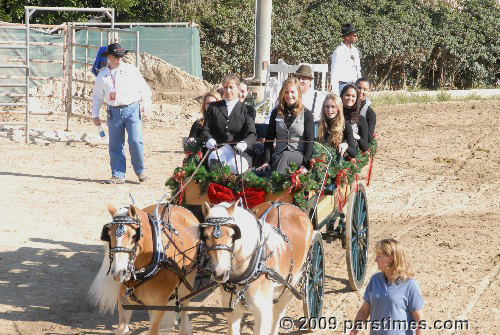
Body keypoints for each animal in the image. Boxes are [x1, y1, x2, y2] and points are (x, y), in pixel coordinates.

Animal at [90, 203, 199, 335]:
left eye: (133, 236)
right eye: (109, 235)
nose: (119, 273)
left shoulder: (160, 306)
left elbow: (153, 330)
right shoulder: (124, 302)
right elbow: (121, 329)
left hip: (188, 280)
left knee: (183, 309)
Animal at [200, 201, 312, 334]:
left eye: (232, 235)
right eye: (205, 236)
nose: (220, 273)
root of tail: (284, 204)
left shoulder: (262, 313)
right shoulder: (232, 312)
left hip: (290, 287)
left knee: (278, 314)